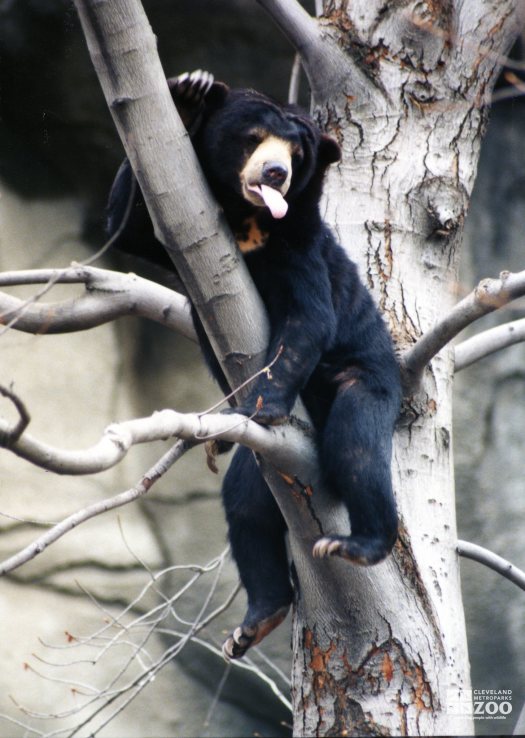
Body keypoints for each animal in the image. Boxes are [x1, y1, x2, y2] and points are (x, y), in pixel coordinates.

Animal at [107, 69, 402, 656]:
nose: (275, 173)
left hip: (368, 378)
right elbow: (129, 225)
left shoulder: (302, 246)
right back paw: (258, 620)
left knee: (358, 444)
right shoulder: (171, 234)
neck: (250, 220)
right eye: (254, 137)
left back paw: (358, 545)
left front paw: (262, 407)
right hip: (260, 466)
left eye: (297, 152)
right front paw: (190, 92)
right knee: (245, 505)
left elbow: (309, 320)